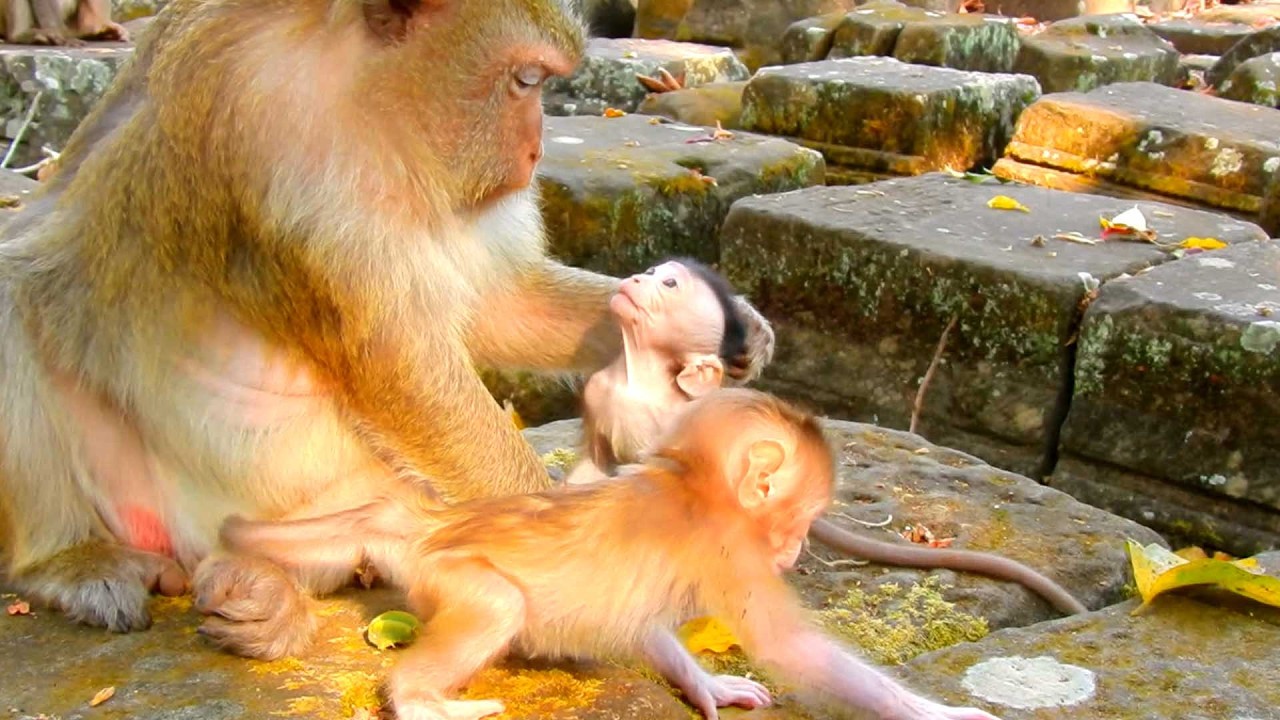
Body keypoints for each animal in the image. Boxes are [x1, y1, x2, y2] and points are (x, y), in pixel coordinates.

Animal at [210, 389, 1003, 720]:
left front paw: (707, 688)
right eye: (802, 516)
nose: (800, 545)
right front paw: (942, 717)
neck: (691, 484)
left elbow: (646, 626)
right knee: (495, 605)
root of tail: (434, 522)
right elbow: (792, 649)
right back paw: (421, 700)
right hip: (450, 576)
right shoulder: (731, 548)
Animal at [559, 264, 1087, 617]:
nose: (636, 278)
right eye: (652, 272)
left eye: (668, 284)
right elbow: (595, 458)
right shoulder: (603, 391)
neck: (640, 379)